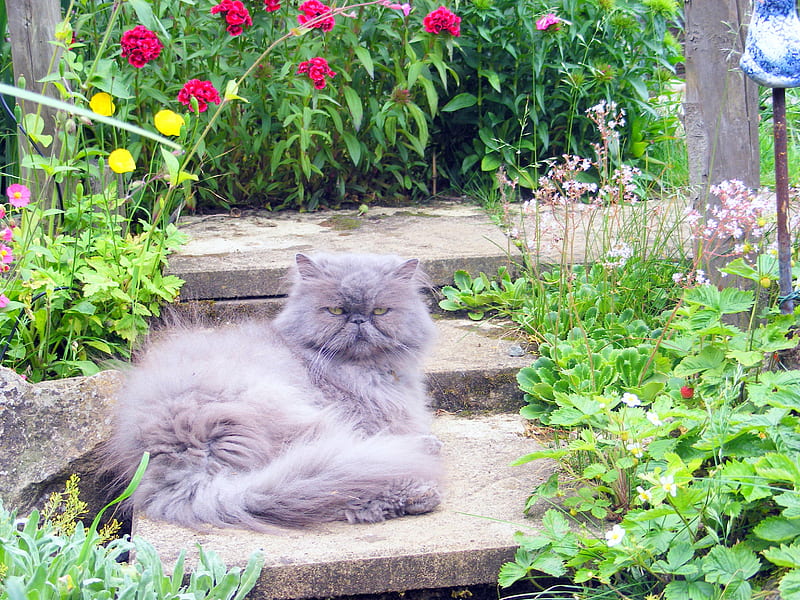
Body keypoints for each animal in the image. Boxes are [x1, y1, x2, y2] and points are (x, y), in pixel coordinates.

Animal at [103, 253, 440, 528]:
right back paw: (421, 485)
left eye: (380, 311)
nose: (358, 320)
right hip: (300, 418)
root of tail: (179, 455)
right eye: (335, 310)